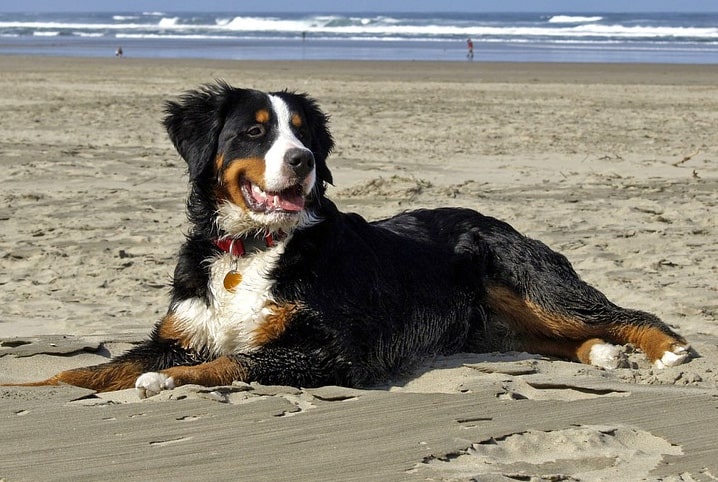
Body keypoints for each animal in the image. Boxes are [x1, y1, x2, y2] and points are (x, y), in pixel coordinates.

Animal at [14, 83, 696, 398]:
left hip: (535, 284)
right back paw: (602, 356)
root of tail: (497, 219)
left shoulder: (329, 350)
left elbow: (232, 361)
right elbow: (94, 369)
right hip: (498, 323)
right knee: (563, 337)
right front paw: (30, 388)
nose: (303, 161)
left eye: (304, 134)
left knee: (623, 312)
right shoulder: (179, 332)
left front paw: (169, 382)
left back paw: (666, 350)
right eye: (254, 133)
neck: (251, 249)